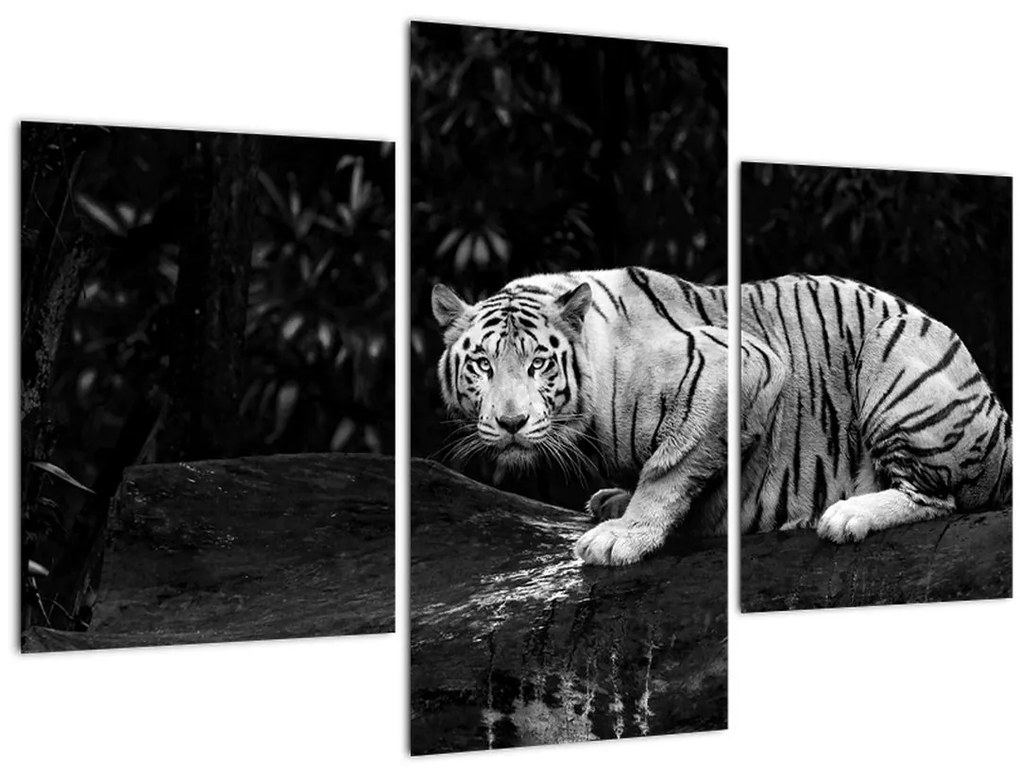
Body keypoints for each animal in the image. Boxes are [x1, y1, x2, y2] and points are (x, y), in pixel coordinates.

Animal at [431, 266, 731, 566]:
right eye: (483, 364)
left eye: (538, 363)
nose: (512, 423)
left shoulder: (714, 373)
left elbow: (669, 469)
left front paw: (622, 536)